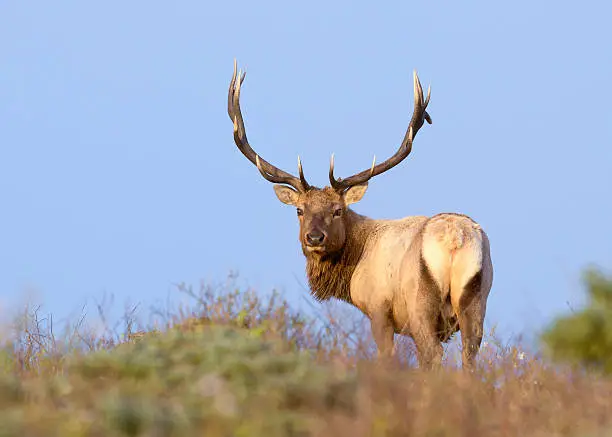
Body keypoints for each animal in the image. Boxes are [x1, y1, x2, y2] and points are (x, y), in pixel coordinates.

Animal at [227, 60, 494, 368]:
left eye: (338, 210)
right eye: (299, 210)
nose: (314, 238)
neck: (354, 265)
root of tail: (455, 240)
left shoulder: (379, 308)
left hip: (421, 302)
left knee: (433, 353)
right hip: (477, 298)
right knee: (470, 356)